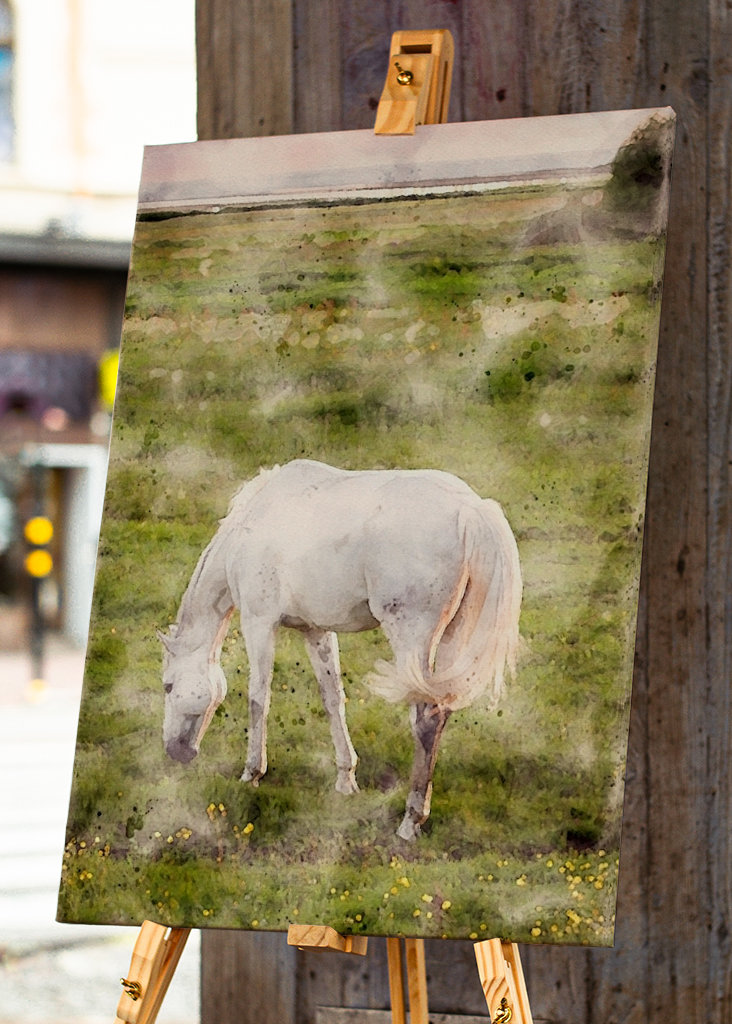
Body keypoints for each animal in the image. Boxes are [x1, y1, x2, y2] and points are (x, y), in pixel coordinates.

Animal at [159, 459, 522, 840]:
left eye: (168, 686)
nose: (175, 751)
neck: (253, 522)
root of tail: (470, 508)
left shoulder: (259, 622)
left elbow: (258, 698)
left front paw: (252, 773)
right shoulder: (316, 630)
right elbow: (332, 698)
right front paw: (346, 779)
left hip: (412, 639)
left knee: (426, 718)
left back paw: (410, 820)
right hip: (451, 639)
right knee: (442, 710)